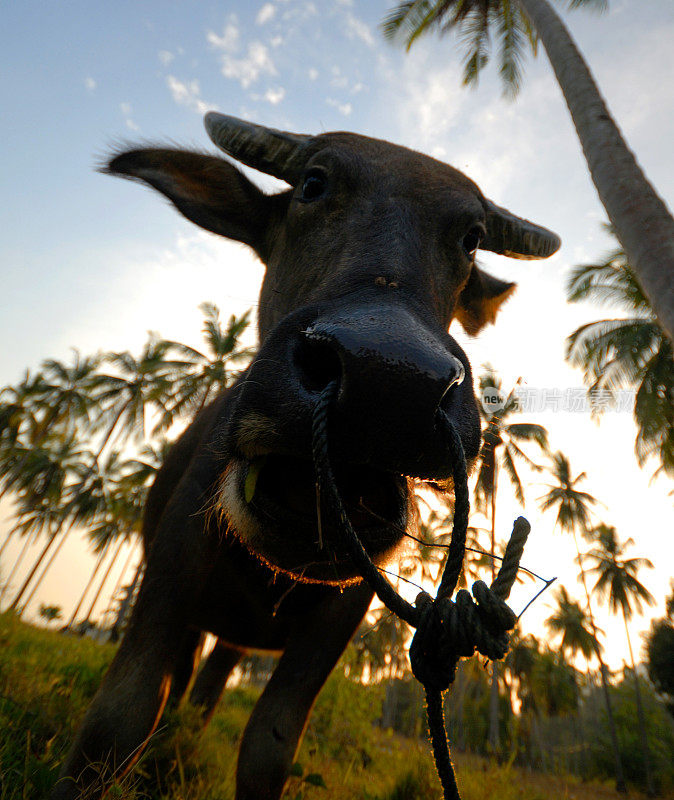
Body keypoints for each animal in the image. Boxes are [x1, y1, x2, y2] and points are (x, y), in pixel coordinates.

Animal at [51, 114, 556, 800]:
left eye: (472, 238)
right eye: (313, 184)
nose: (389, 381)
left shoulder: (340, 616)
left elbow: (270, 746)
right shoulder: (170, 571)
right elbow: (118, 718)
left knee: (210, 686)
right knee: (181, 686)